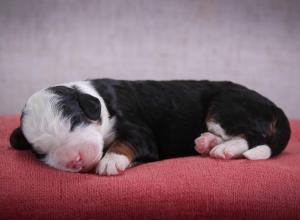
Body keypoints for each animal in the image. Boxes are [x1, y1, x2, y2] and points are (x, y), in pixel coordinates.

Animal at [9, 79, 290, 175]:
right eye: (40, 152)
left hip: (225, 107)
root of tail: (273, 105)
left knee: (253, 135)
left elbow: (126, 142)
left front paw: (111, 161)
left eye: (74, 122)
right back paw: (206, 142)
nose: (74, 162)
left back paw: (224, 149)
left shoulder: (139, 130)